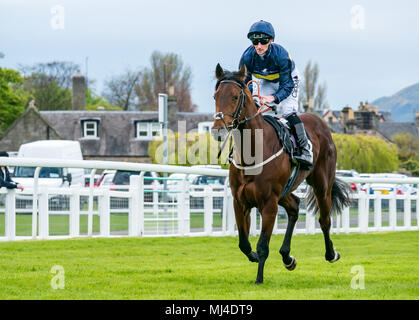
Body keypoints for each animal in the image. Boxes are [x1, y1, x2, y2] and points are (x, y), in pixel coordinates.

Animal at [212, 63, 352, 284]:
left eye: (235, 97)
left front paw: (259, 279)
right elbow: (244, 243)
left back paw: (331, 254)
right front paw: (254, 257)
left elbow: (262, 245)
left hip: (322, 185)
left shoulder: (269, 203)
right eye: (215, 96)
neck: (253, 153)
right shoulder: (240, 201)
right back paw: (287, 257)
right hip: (284, 191)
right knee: (294, 207)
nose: (217, 130)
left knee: (324, 220)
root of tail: (321, 123)